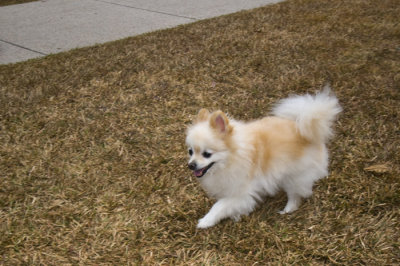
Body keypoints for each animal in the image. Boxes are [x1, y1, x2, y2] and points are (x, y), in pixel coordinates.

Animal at [186, 88, 342, 229]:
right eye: (190, 151)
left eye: (207, 154)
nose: (191, 165)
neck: (232, 156)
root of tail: (304, 130)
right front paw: (237, 214)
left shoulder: (241, 192)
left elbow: (219, 206)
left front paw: (206, 221)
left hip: (295, 175)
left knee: (295, 195)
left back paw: (288, 209)